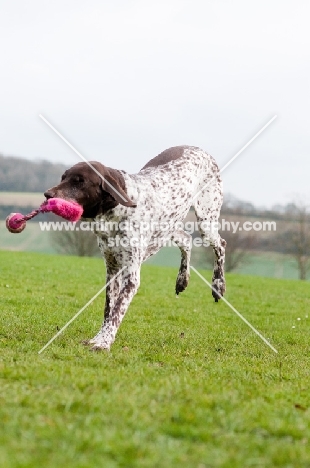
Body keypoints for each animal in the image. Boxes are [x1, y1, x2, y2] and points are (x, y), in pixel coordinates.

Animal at [44, 144, 225, 350]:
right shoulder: (112, 270)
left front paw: (104, 342)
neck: (115, 214)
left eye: (79, 181)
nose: (47, 195)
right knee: (186, 239)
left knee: (221, 245)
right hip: (168, 228)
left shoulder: (131, 276)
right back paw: (182, 279)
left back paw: (218, 285)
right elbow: (109, 309)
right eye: (63, 177)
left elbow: (117, 311)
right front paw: (99, 337)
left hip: (206, 222)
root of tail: (198, 148)